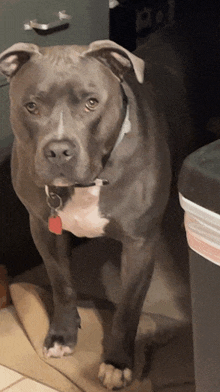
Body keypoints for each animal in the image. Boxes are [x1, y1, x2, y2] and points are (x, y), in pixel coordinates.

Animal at [0, 30, 193, 388]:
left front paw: (117, 362)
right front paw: (62, 336)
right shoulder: (43, 228)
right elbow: (61, 284)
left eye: (92, 103)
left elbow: (128, 309)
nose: (58, 150)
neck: (87, 184)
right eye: (31, 106)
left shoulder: (139, 244)